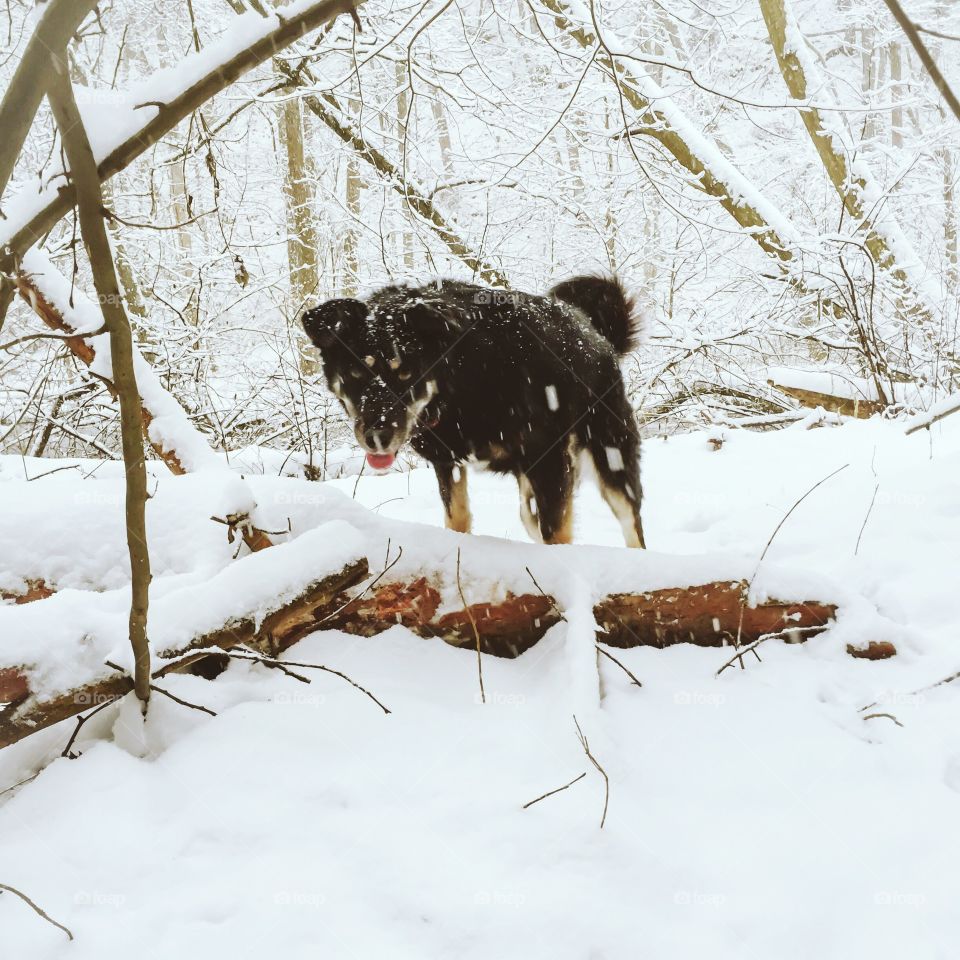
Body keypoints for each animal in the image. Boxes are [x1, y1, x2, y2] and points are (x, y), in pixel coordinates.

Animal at [300, 278, 644, 548]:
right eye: (356, 374)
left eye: (406, 373)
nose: (377, 437)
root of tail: (597, 334)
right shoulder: (447, 463)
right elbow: (458, 518)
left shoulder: (549, 460)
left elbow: (555, 535)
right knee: (530, 516)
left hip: (610, 456)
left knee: (631, 525)